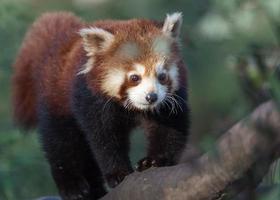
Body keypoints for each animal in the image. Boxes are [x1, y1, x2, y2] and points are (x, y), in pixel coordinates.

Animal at [12, 12, 189, 200]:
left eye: (162, 76)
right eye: (134, 77)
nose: (151, 97)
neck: (133, 107)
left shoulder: (171, 101)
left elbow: (169, 129)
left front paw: (156, 160)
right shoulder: (92, 98)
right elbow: (104, 138)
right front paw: (118, 173)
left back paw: (95, 190)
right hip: (58, 101)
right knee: (61, 141)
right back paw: (72, 186)